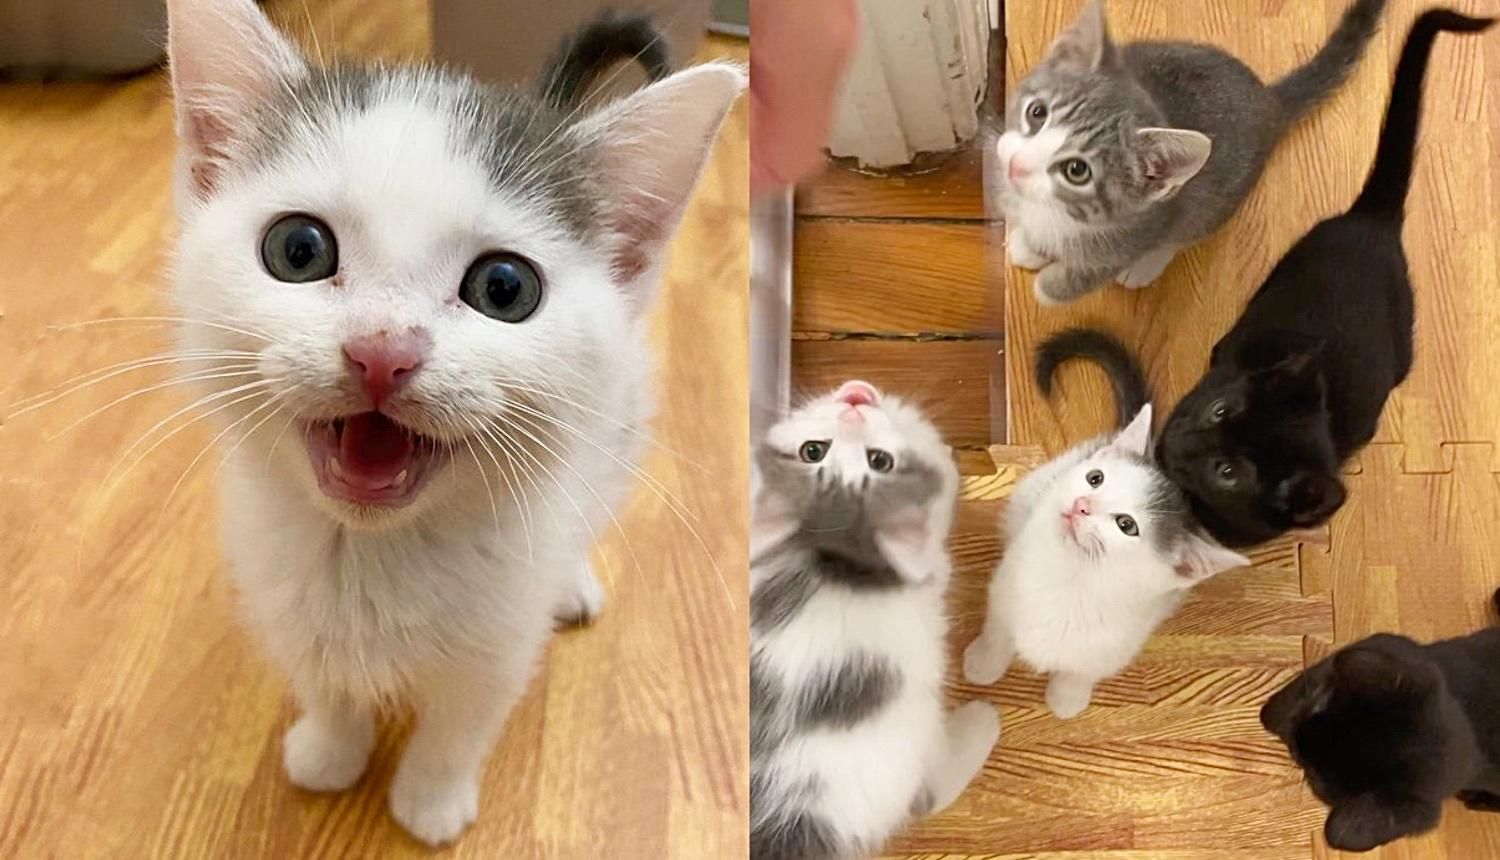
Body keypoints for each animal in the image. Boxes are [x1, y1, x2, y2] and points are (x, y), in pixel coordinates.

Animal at [165, 0, 744, 846]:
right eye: (297, 249)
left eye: (505, 288)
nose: (382, 352)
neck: (372, 554)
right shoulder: (284, 598)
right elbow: (327, 684)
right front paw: (329, 750)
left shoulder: (497, 648)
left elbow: (458, 724)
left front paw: (430, 802)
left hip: (617, 429)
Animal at [1002, 0, 1386, 304]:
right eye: (1036, 113)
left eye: (1077, 170)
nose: (1015, 165)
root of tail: (1267, 100)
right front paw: (1030, 243)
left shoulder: (1132, 236)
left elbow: (1082, 275)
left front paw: (1048, 287)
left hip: (1218, 201)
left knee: (1189, 227)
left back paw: (1148, 264)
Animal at [1260, 588, 1500, 846]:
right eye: (1318, 704)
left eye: (1315, 779)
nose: (1293, 739)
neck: (1471, 721)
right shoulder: (1388, 645)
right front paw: (1273, 711)